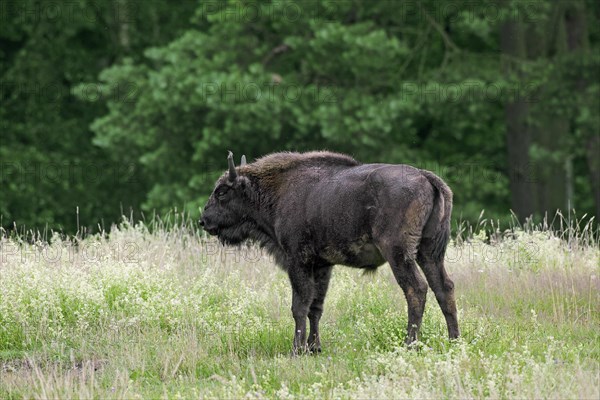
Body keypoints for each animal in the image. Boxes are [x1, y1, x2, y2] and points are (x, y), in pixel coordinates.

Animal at [202, 151, 460, 354]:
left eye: (222, 192)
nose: (203, 220)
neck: (277, 190)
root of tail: (425, 177)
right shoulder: (322, 266)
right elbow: (315, 307)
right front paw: (314, 347)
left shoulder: (298, 262)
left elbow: (299, 306)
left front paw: (297, 350)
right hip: (429, 254)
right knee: (443, 288)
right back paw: (454, 341)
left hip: (399, 254)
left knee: (416, 289)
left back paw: (409, 345)